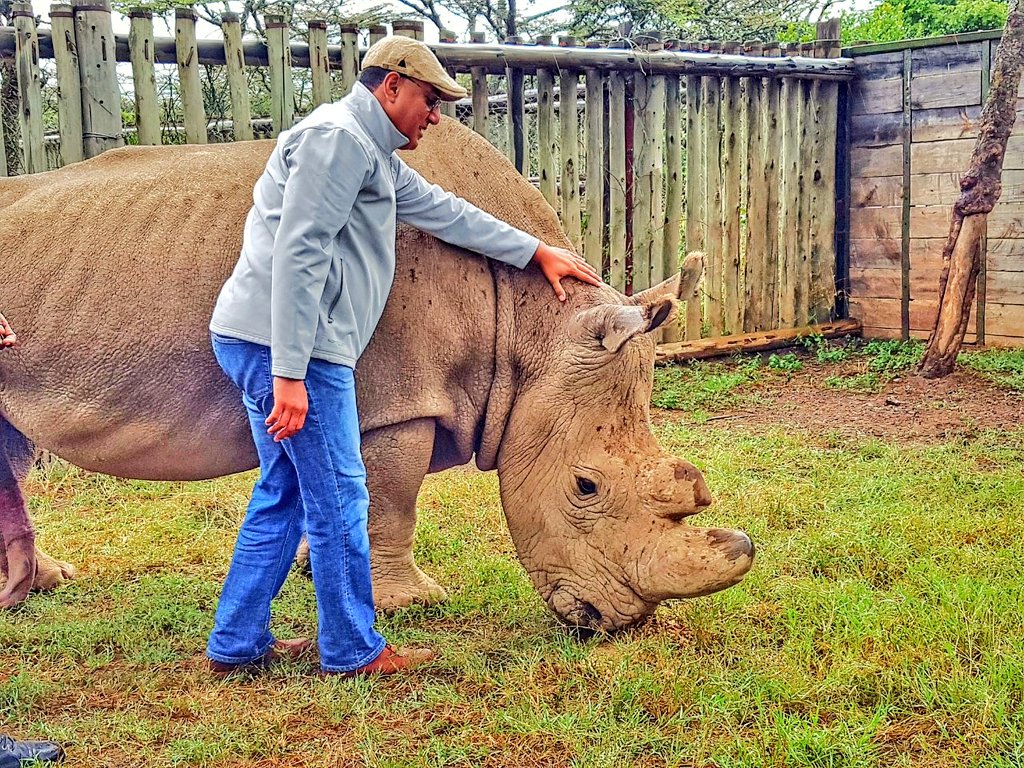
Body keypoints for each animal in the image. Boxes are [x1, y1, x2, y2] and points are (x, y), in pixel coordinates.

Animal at [0, 118, 754, 632]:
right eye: (585, 486)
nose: (614, 623)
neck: (532, 327)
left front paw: (315, 568)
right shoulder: (399, 398)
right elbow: (393, 494)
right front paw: (409, 604)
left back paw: (46, 583)